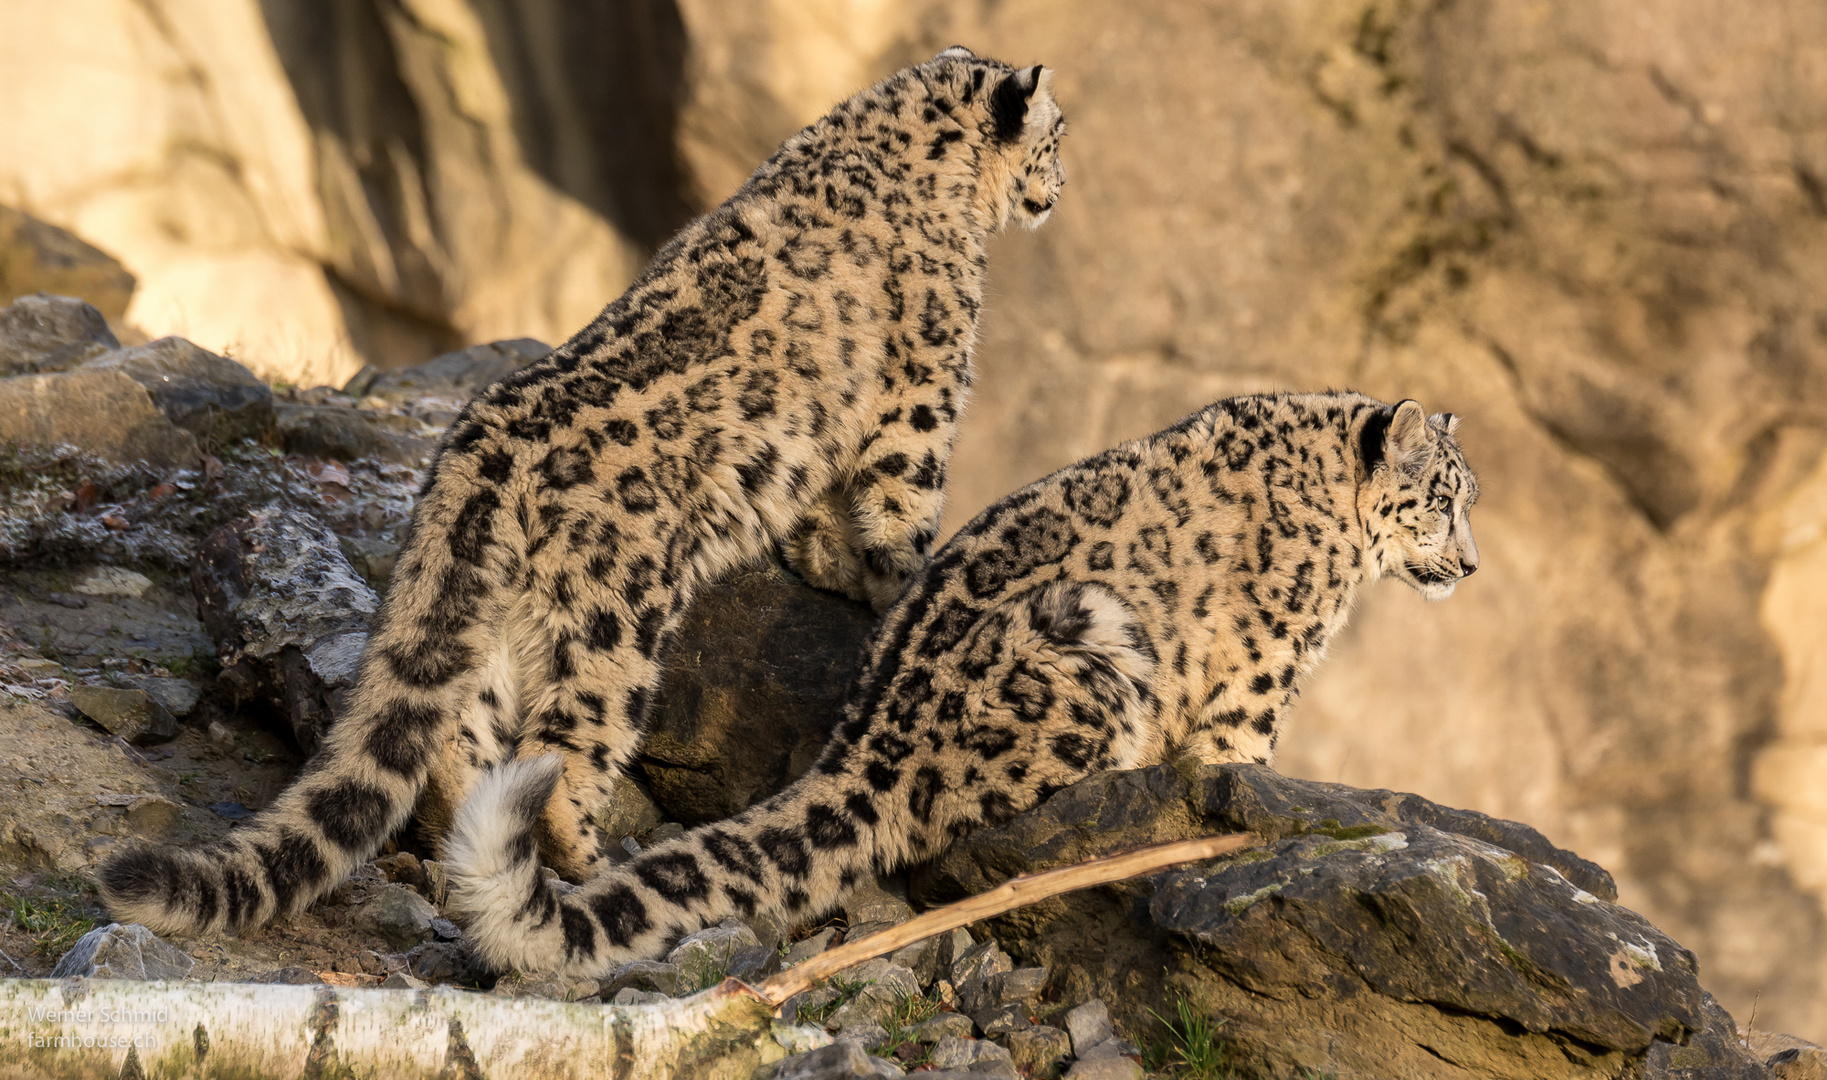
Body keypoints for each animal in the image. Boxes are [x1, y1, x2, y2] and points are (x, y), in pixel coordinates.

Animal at [96, 44, 1066, 935]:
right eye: (1056, 136)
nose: (1059, 188)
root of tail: (476, 461)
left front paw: (827, 561)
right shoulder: (924, 388)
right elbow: (903, 505)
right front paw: (900, 580)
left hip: (493, 624)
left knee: (461, 741)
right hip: (610, 625)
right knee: (565, 747)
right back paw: (589, 857)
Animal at [445, 392, 1483, 979]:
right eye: (1442, 500)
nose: (1471, 565)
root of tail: (867, 750)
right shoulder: (1262, 666)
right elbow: (1238, 750)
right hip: (1088, 639)